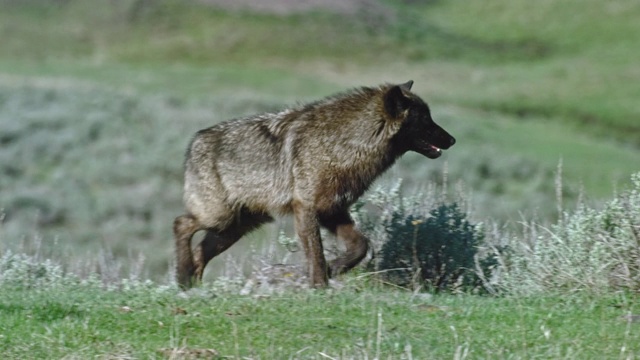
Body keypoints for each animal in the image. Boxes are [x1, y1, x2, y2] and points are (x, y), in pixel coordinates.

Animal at [175, 80, 456, 288]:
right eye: (425, 119)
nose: (452, 140)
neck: (343, 145)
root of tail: (195, 141)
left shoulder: (334, 210)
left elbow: (361, 245)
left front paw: (336, 268)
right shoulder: (306, 208)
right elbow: (317, 254)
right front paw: (320, 286)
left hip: (234, 227)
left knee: (199, 250)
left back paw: (192, 285)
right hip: (219, 219)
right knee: (181, 224)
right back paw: (181, 278)